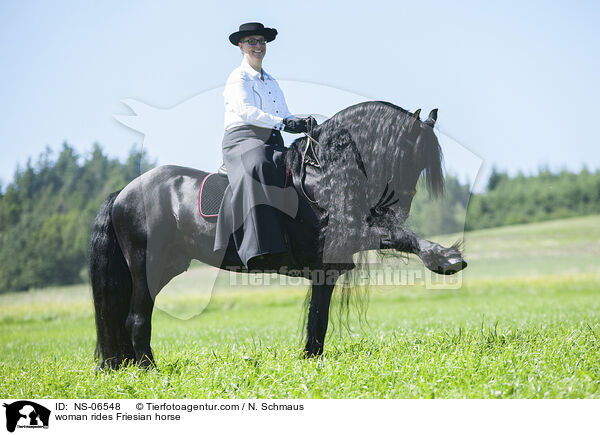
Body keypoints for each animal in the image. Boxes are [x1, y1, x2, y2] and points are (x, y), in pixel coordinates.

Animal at [89, 100, 466, 370]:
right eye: (404, 154)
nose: (398, 207)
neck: (323, 176)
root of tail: (123, 193)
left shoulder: (328, 266)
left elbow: (318, 318)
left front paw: (311, 359)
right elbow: (399, 236)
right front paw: (446, 258)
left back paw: (126, 364)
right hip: (148, 266)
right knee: (136, 317)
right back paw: (147, 370)